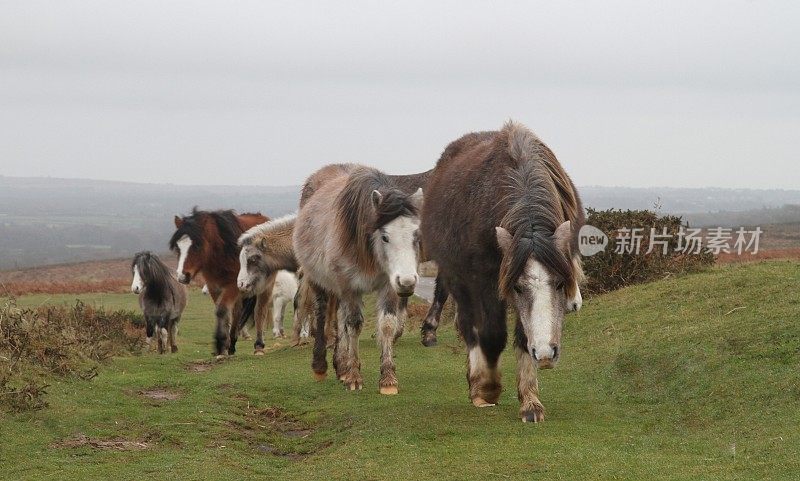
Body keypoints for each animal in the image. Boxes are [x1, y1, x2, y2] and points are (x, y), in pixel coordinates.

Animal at [169, 207, 268, 356]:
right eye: (177, 247)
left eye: (197, 245)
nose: (182, 276)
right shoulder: (213, 287)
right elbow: (222, 311)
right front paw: (224, 346)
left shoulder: (233, 286)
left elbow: (222, 310)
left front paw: (220, 343)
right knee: (237, 312)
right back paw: (232, 343)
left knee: (259, 312)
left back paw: (259, 345)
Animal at [422, 122, 584, 422]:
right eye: (518, 287)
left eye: (560, 284)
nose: (546, 354)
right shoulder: (485, 280)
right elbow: (492, 335)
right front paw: (488, 388)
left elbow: (523, 337)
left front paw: (530, 401)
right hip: (457, 280)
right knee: (469, 325)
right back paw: (477, 384)